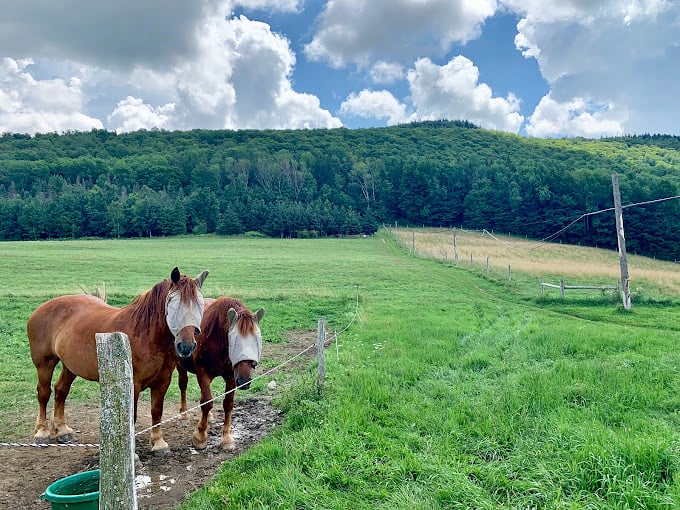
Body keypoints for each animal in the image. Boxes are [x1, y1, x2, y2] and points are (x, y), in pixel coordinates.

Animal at [27, 266, 207, 450]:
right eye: (174, 305)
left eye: (200, 305)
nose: (186, 345)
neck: (146, 335)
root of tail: (43, 307)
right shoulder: (133, 384)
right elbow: (132, 416)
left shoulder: (163, 381)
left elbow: (157, 411)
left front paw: (158, 443)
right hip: (44, 363)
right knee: (44, 393)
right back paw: (41, 432)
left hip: (70, 366)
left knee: (61, 390)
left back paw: (62, 430)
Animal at [177, 296, 264, 448]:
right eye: (234, 341)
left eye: (256, 341)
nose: (244, 381)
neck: (216, 338)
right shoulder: (202, 371)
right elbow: (207, 402)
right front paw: (200, 436)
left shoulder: (231, 376)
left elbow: (228, 404)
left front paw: (227, 437)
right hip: (180, 366)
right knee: (183, 385)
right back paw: (183, 414)